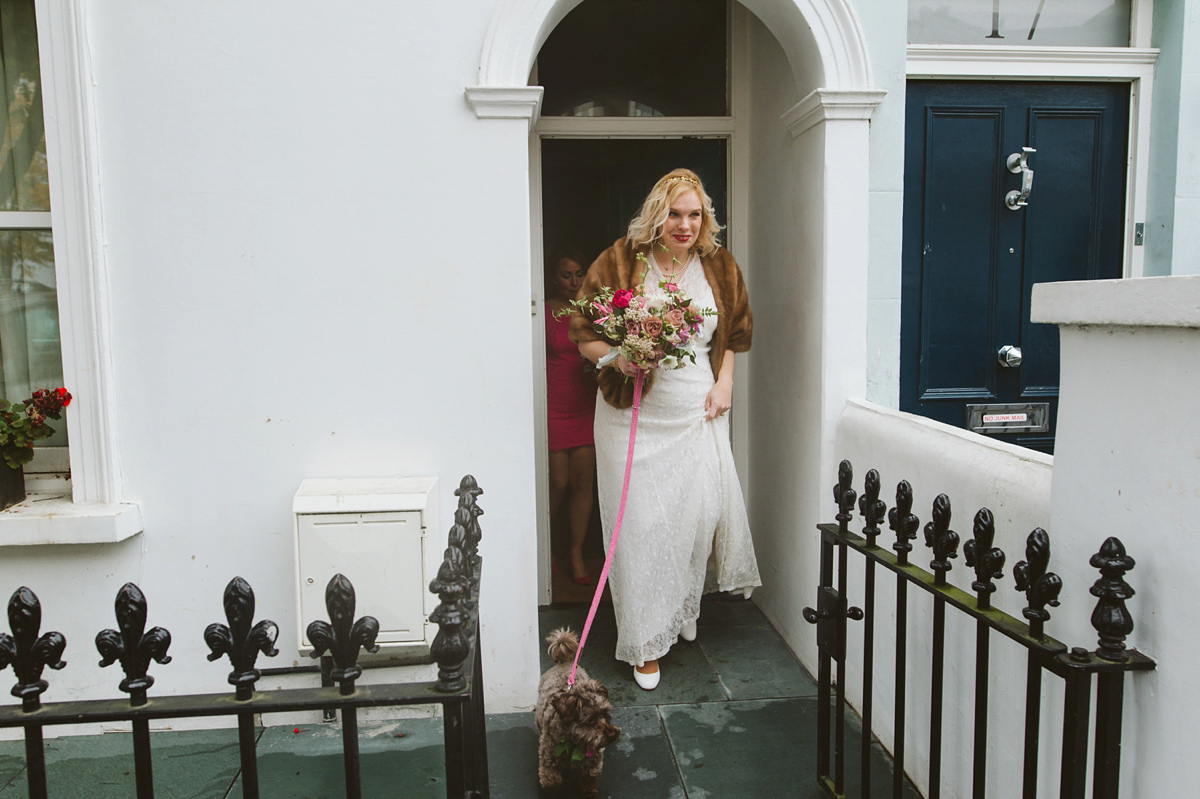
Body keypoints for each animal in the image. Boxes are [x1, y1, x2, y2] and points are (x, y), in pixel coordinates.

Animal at [540, 623, 624, 791]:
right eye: (590, 721)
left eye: (606, 714)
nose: (613, 733)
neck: (574, 743)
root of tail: (564, 663)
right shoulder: (548, 765)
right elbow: (553, 784)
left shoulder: (594, 762)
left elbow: (589, 782)